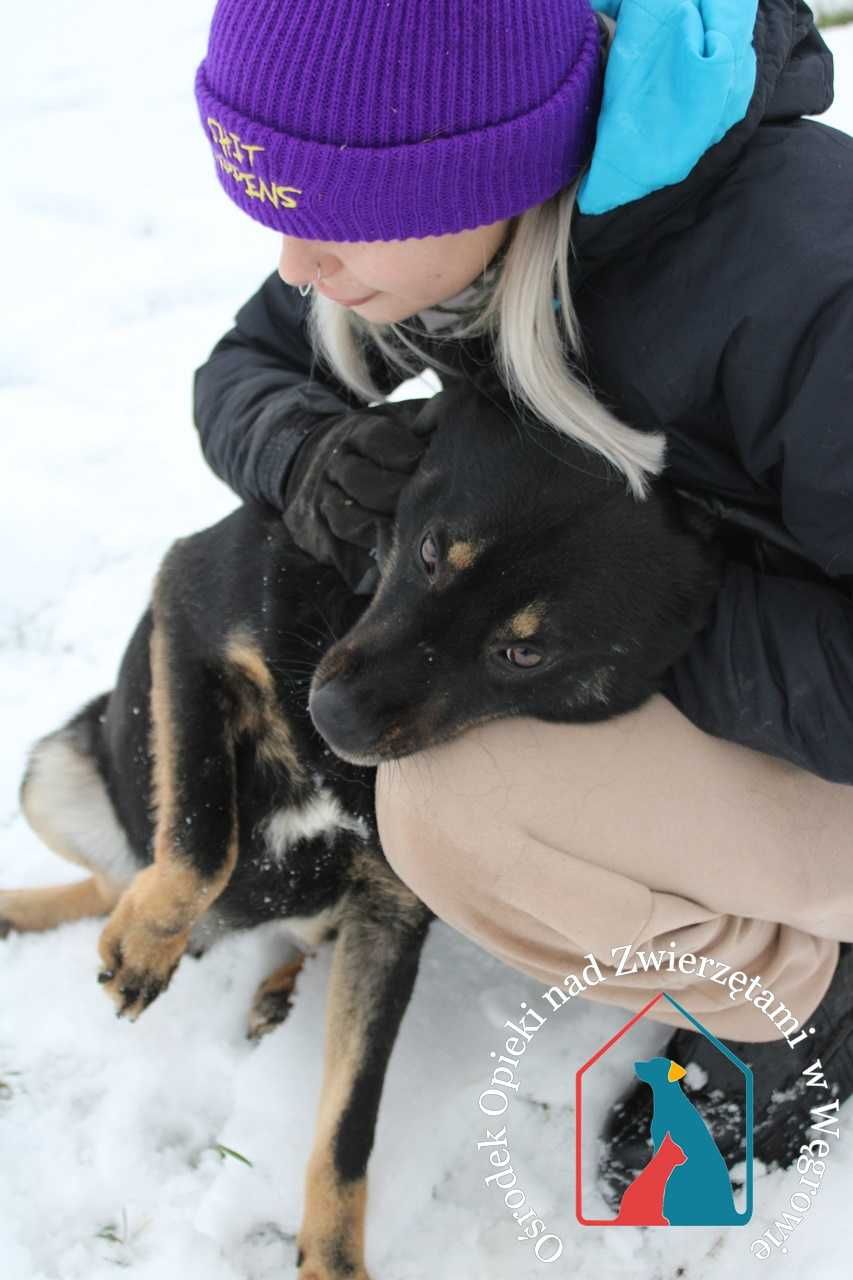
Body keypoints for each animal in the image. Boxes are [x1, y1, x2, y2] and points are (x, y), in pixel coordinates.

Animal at [0, 376, 722, 1280]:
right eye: (429, 553)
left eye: (525, 654)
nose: (332, 715)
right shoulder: (189, 610)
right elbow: (203, 830)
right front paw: (147, 941)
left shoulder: (391, 915)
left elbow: (349, 1122)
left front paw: (333, 1258)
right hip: (54, 776)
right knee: (115, 876)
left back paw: (274, 984)